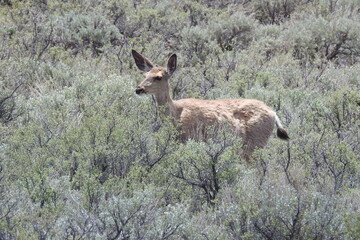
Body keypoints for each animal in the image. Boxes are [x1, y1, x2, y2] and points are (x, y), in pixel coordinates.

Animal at [132, 49, 290, 160]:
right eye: (145, 75)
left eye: (158, 77)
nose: (138, 89)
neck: (176, 114)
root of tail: (273, 113)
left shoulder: (189, 138)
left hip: (255, 143)